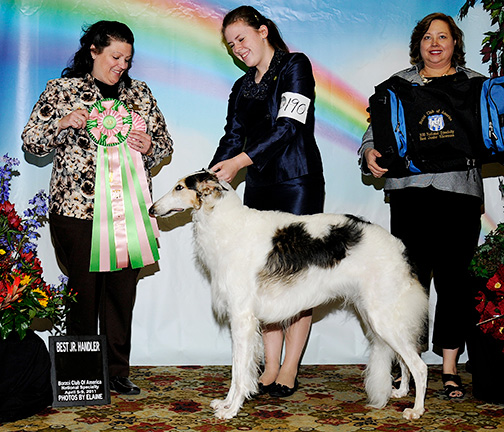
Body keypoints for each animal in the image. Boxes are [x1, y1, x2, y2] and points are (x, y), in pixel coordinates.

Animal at [150, 170, 430, 420]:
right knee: (404, 359)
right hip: (378, 316)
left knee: (420, 365)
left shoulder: (242, 319)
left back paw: (416, 410)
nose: (152, 209)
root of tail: (398, 247)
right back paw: (400, 391)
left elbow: (239, 371)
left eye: (179, 187)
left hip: (383, 317)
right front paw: (225, 404)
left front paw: (231, 410)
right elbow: (237, 369)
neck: (226, 222)